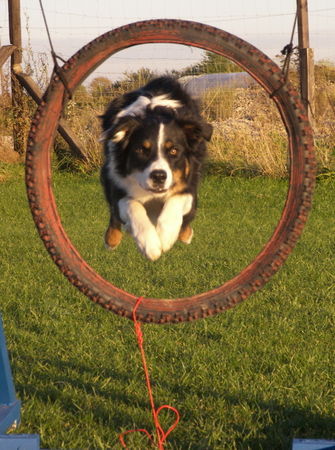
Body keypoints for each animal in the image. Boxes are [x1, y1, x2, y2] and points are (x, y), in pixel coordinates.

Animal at [100, 77, 214, 260]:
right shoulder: (117, 182)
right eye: (141, 150)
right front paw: (150, 244)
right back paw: (111, 239)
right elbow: (132, 205)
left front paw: (165, 236)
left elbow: (177, 199)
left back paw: (185, 234)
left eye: (173, 151)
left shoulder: (189, 183)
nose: (159, 176)